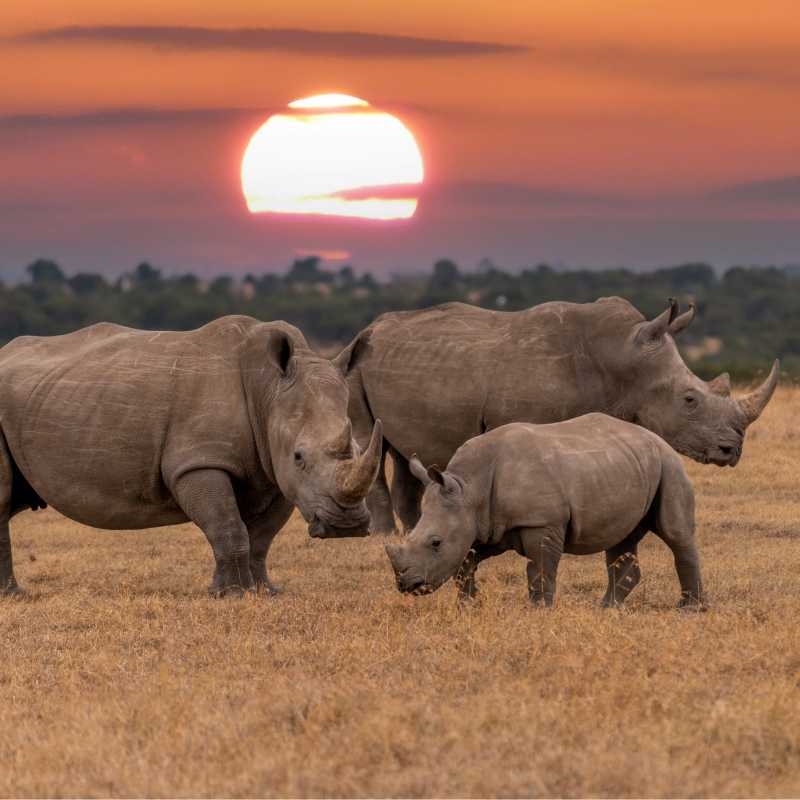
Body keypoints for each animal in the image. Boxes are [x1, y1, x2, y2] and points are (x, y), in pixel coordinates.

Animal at [0, 315, 381, 597]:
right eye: (300, 456)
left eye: (359, 448)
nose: (346, 525)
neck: (268, 391)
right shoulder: (199, 462)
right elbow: (227, 526)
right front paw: (232, 595)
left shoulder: (275, 470)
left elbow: (260, 537)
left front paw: (262, 591)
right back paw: (14, 596)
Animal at [342, 297, 778, 534]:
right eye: (689, 400)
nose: (732, 450)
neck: (624, 360)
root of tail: (369, 328)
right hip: (354, 366)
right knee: (371, 441)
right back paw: (383, 535)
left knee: (405, 450)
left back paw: (415, 528)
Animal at [385, 414, 703, 609]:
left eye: (435, 543)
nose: (407, 585)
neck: (469, 487)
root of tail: (655, 436)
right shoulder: (485, 525)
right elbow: (465, 564)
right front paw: (469, 605)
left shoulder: (541, 522)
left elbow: (540, 569)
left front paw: (539, 610)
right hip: (627, 465)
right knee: (621, 539)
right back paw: (607, 608)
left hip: (668, 464)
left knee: (676, 534)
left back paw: (690, 609)